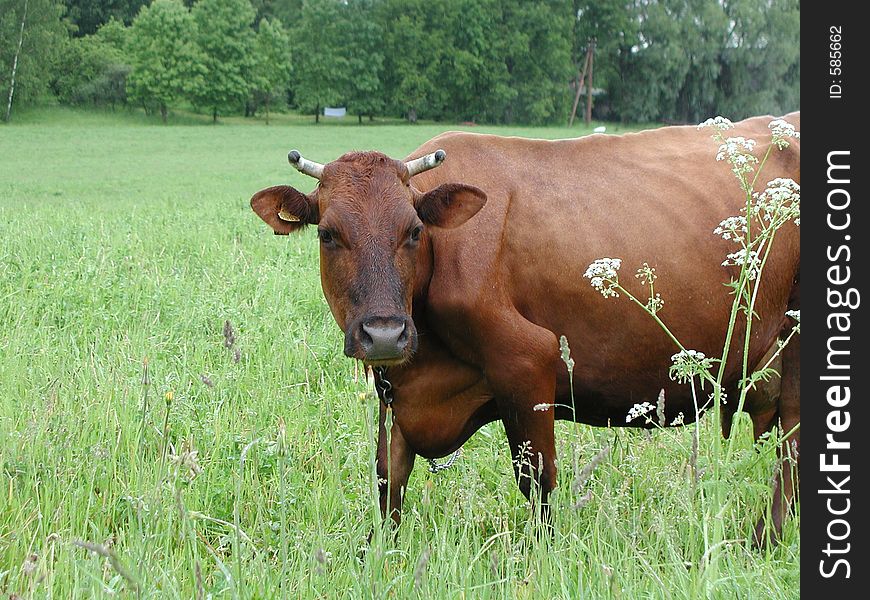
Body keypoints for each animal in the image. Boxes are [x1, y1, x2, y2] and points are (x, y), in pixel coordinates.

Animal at [252, 112, 804, 544]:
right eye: (328, 234)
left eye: (413, 231)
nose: (385, 333)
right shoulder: (396, 388)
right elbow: (390, 480)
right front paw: (379, 557)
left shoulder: (528, 360)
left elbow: (536, 480)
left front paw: (544, 555)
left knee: (794, 449)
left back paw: (764, 539)